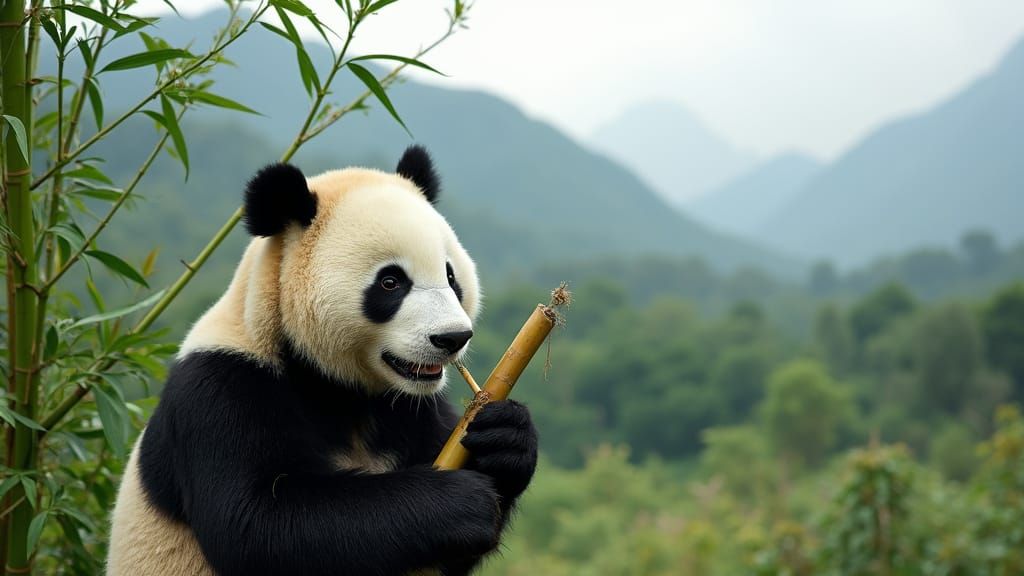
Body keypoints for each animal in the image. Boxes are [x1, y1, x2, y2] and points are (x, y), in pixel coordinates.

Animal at [106, 146, 538, 576]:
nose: (452, 337)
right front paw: (456, 501)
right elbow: (260, 525)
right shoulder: (223, 388)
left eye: (451, 277)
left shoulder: (413, 407)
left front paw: (505, 438)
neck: (333, 385)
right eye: (391, 282)